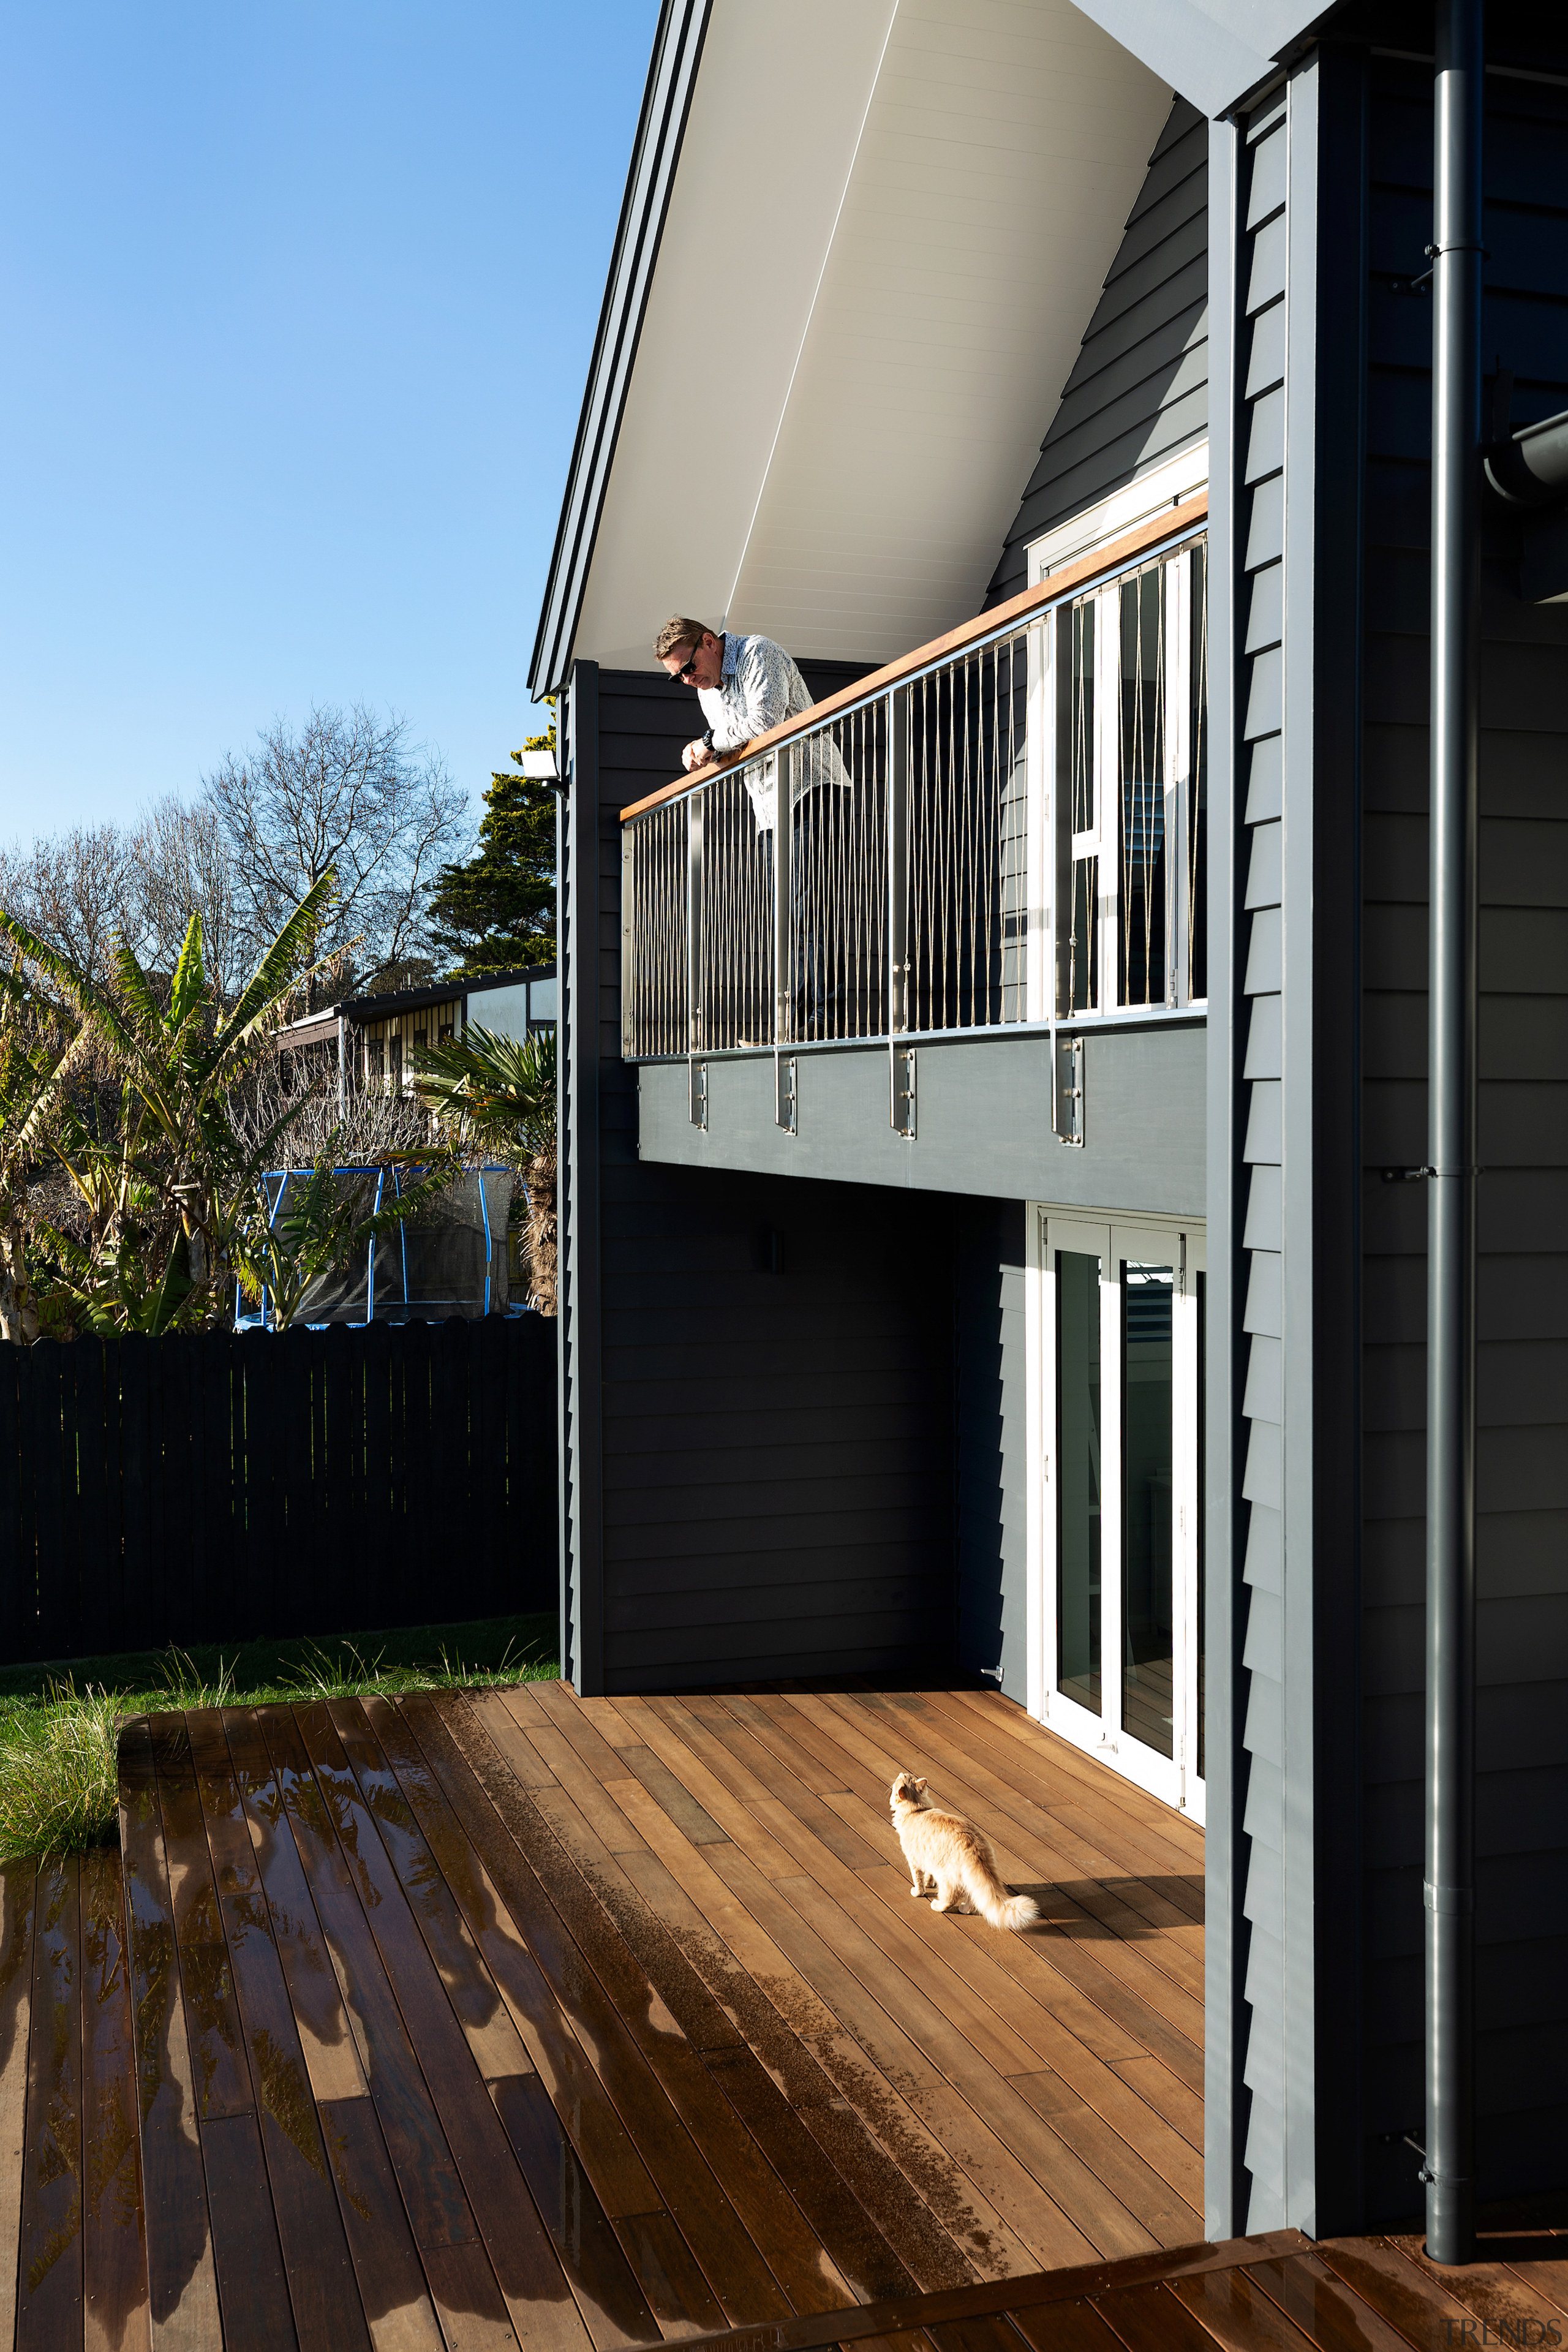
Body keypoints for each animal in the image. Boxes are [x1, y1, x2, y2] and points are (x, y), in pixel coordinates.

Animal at [884, 1768, 1044, 1928]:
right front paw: (930, 1884)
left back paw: (938, 1905)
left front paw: (918, 1891)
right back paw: (964, 1909)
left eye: (899, 1778)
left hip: (947, 1877)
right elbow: (929, 1875)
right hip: (968, 1878)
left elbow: (918, 1881)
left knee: (951, 1898)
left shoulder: (914, 1860)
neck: (917, 1811)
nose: (900, 1772)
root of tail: (974, 1845)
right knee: (973, 1898)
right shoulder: (927, 1858)